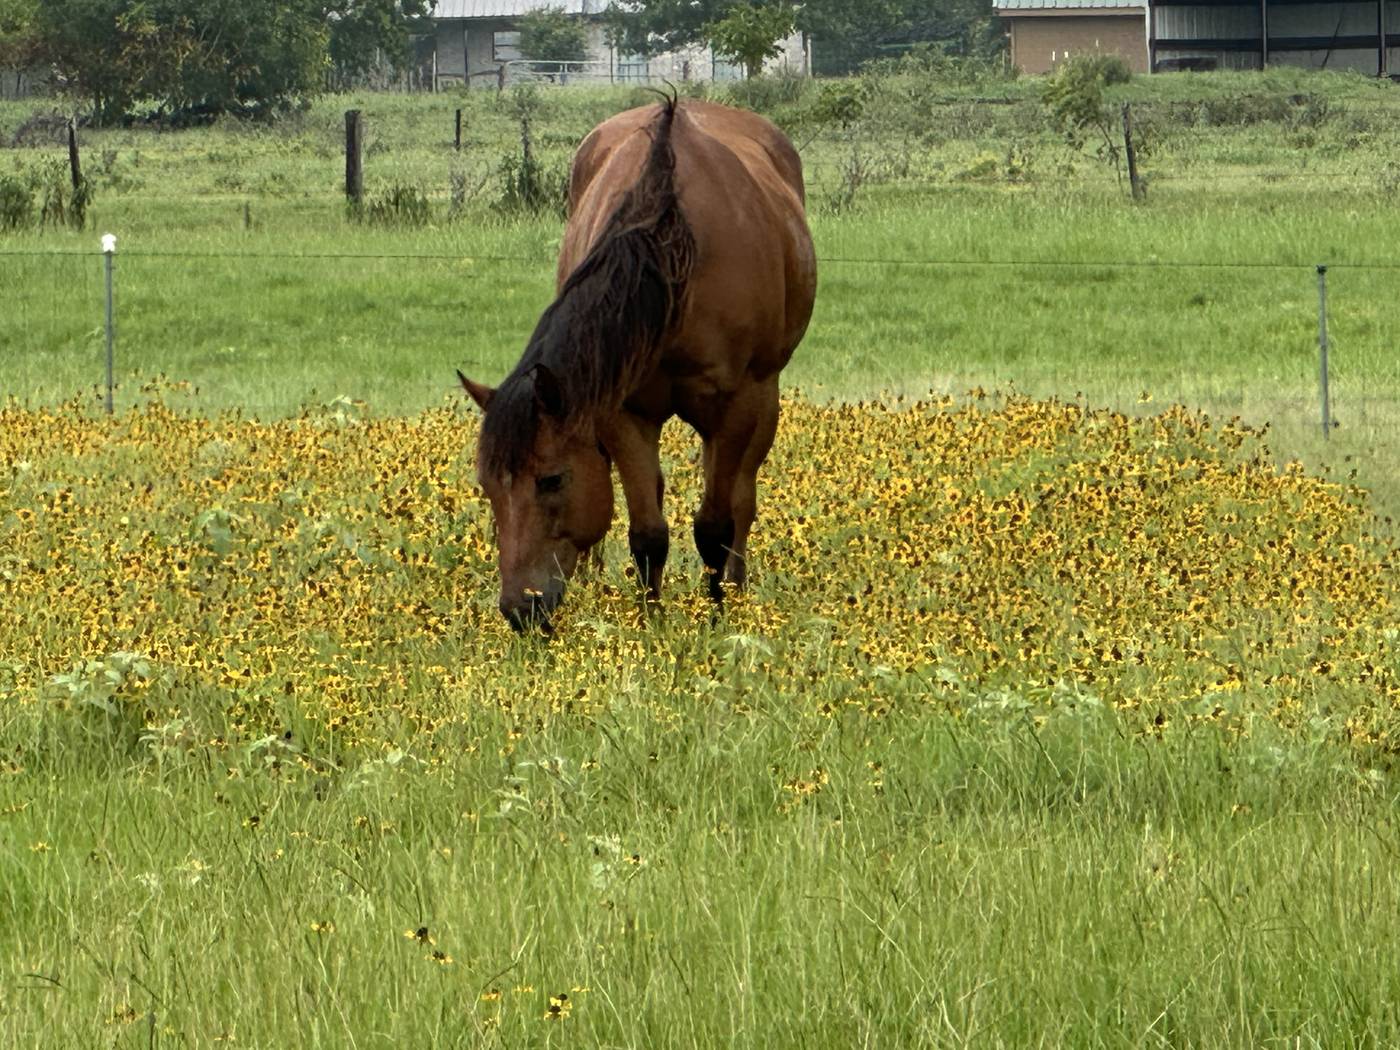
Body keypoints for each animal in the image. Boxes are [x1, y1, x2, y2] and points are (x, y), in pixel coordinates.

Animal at [459, 95, 817, 632]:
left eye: (551, 479)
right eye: (487, 486)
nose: (520, 609)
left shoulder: (736, 405)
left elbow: (716, 524)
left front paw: (715, 617)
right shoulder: (620, 412)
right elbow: (648, 533)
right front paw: (651, 624)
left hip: (763, 401)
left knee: (741, 501)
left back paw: (735, 588)